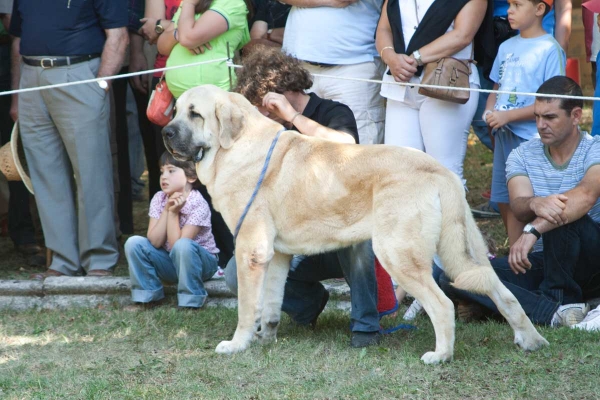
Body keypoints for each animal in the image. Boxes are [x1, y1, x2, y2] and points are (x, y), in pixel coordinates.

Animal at [161, 86, 548, 364]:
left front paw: (237, 344)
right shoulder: (275, 255)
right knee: (500, 290)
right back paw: (530, 340)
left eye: (195, 114)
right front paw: (265, 338)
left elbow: (246, 307)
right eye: (176, 110)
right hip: (462, 251)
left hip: (397, 254)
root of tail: (439, 170)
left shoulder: (249, 250)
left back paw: (441, 356)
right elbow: (270, 303)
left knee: (443, 304)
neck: (236, 146)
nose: (165, 132)